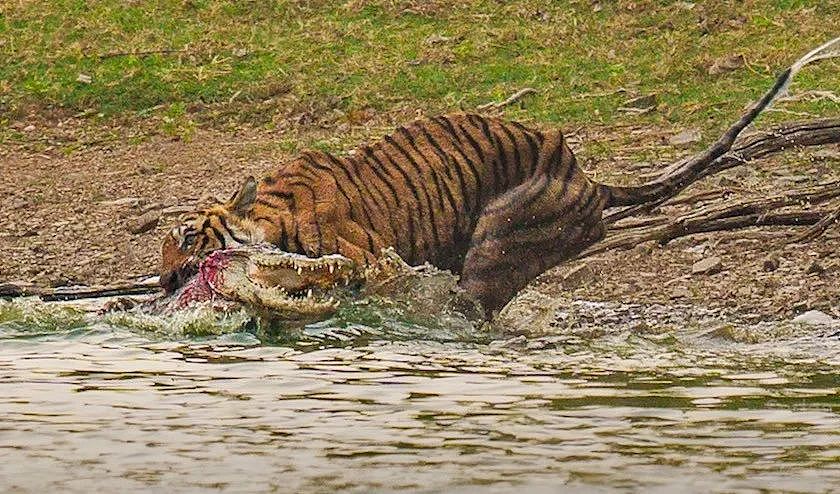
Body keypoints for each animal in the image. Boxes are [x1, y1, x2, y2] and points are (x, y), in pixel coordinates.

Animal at [159, 67, 792, 315]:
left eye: (189, 238)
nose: (163, 281)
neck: (273, 219)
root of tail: (589, 179)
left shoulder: (372, 260)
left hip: (500, 240)